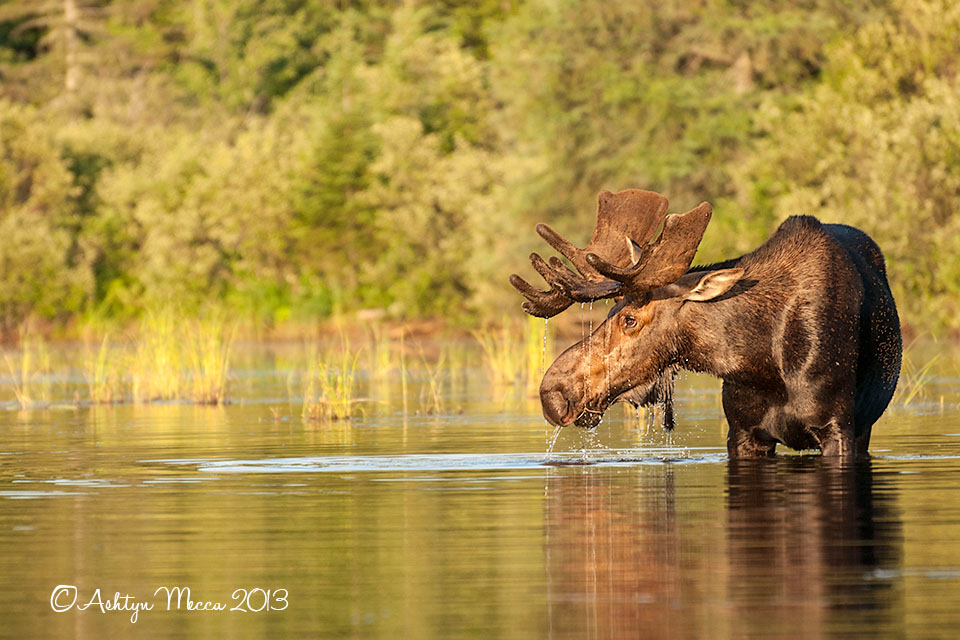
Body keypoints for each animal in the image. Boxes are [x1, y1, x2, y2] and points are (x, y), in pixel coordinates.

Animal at [510, 189, 901, 458]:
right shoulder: (742, 432)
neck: (761, 361)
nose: (552, 393)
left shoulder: (838, 428)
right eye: (610, 312)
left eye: (630, 319)